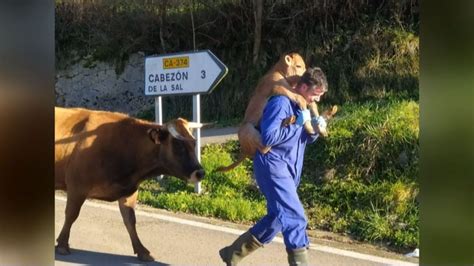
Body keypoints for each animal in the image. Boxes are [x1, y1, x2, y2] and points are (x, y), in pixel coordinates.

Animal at [54, 107, 205, 260]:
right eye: (178, 145)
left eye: (194, 143)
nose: (200, 172)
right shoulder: (77, 187)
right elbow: (71, 215)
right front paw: (62, 244)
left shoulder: (128, 191)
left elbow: (130, 220)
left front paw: (142, 250)